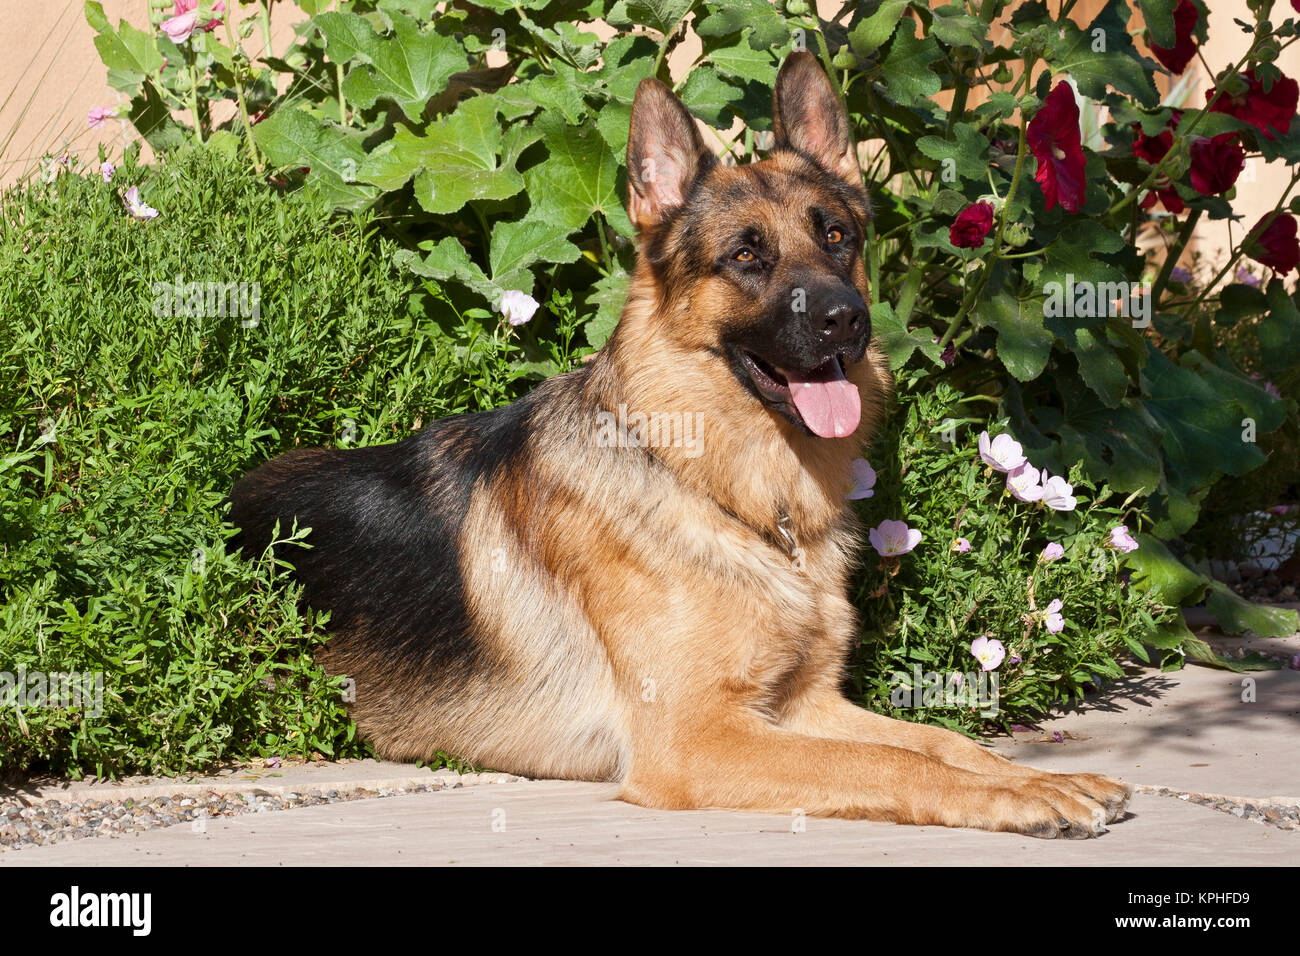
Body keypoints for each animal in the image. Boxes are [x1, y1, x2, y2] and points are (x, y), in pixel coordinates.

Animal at [231, 52, 1128, 832]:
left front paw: (1038, 776)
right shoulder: (700, 739)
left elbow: (944, 741)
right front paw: (1018, 798)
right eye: (746, 256)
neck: (732, 498)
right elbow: (896, 764)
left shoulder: (808, 705)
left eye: (837, 236)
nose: (846, 320)